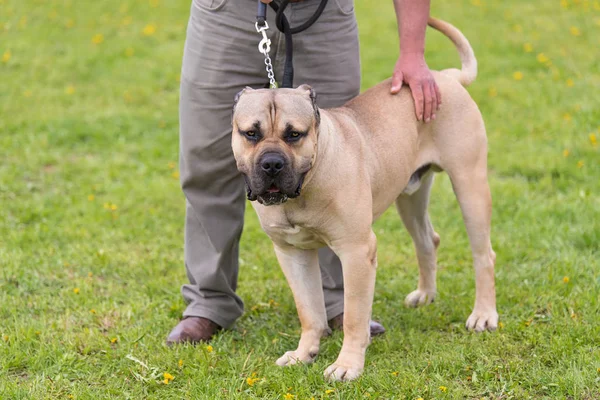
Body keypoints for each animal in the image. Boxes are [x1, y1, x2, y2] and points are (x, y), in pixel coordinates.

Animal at [230, 18, 496, 382]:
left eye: (294, 134)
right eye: (250, 134)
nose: (272, 164)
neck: (305, 187)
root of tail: (446, 77)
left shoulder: (356, 252)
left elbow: (355, 316)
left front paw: (347, 364)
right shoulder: (292, 253)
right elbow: (308, 309)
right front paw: (304, 353)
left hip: (470, 185)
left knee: (484, 255)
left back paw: (483, 315)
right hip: (410, 197)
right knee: (427, 240)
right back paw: (426, 295)